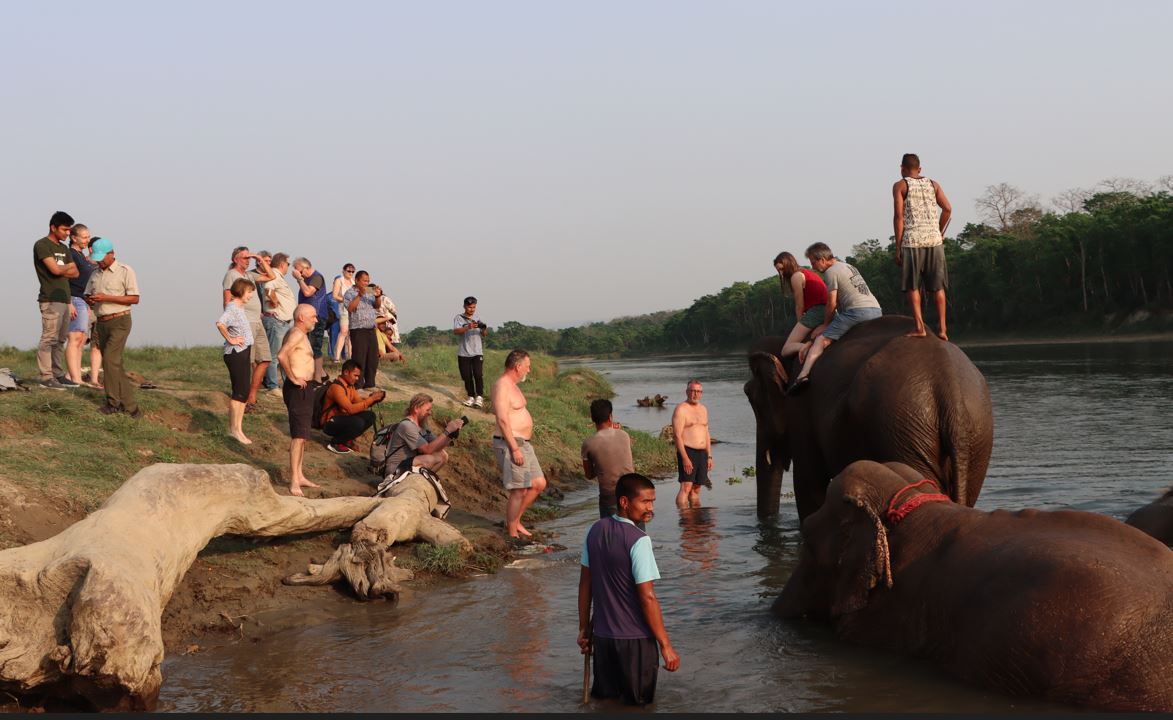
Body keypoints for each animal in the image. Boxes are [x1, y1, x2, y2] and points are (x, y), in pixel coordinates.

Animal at [741, 314, 990, 518]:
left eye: (750, 396)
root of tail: (950, 391)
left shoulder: (800, 405)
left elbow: (809, 485)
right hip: (974, 438)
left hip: (899, 427)